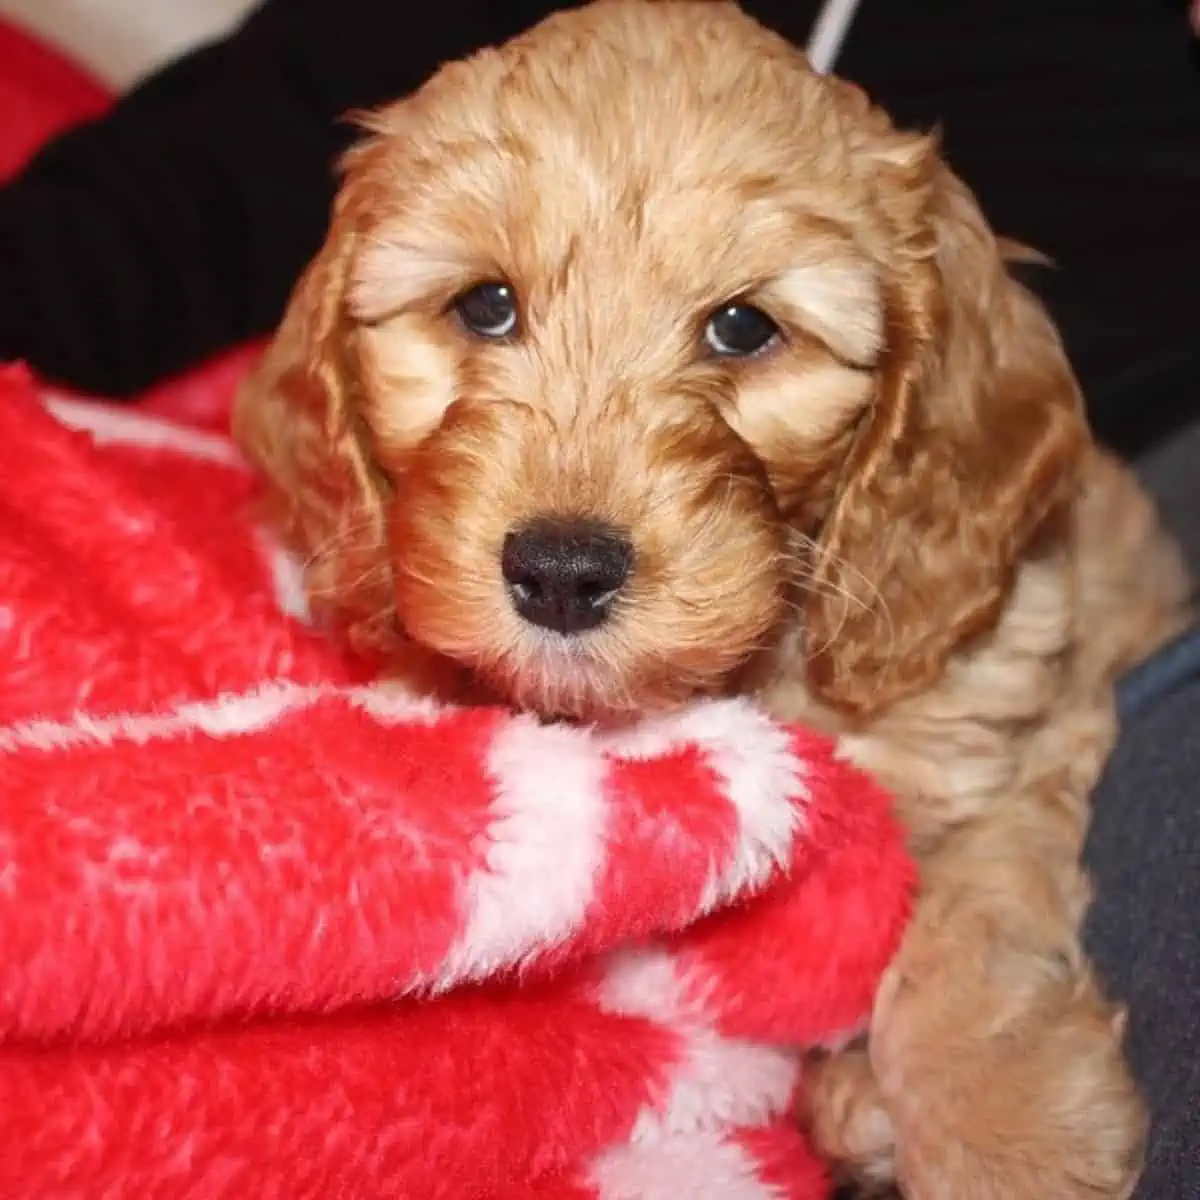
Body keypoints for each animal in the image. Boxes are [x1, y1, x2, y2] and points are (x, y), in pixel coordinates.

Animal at [234, 4, 1190, 1195]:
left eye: (744, 328)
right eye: (486, 306)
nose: (560, 571)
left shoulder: (1003, 726)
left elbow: (972, 932)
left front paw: (1004, 1133)